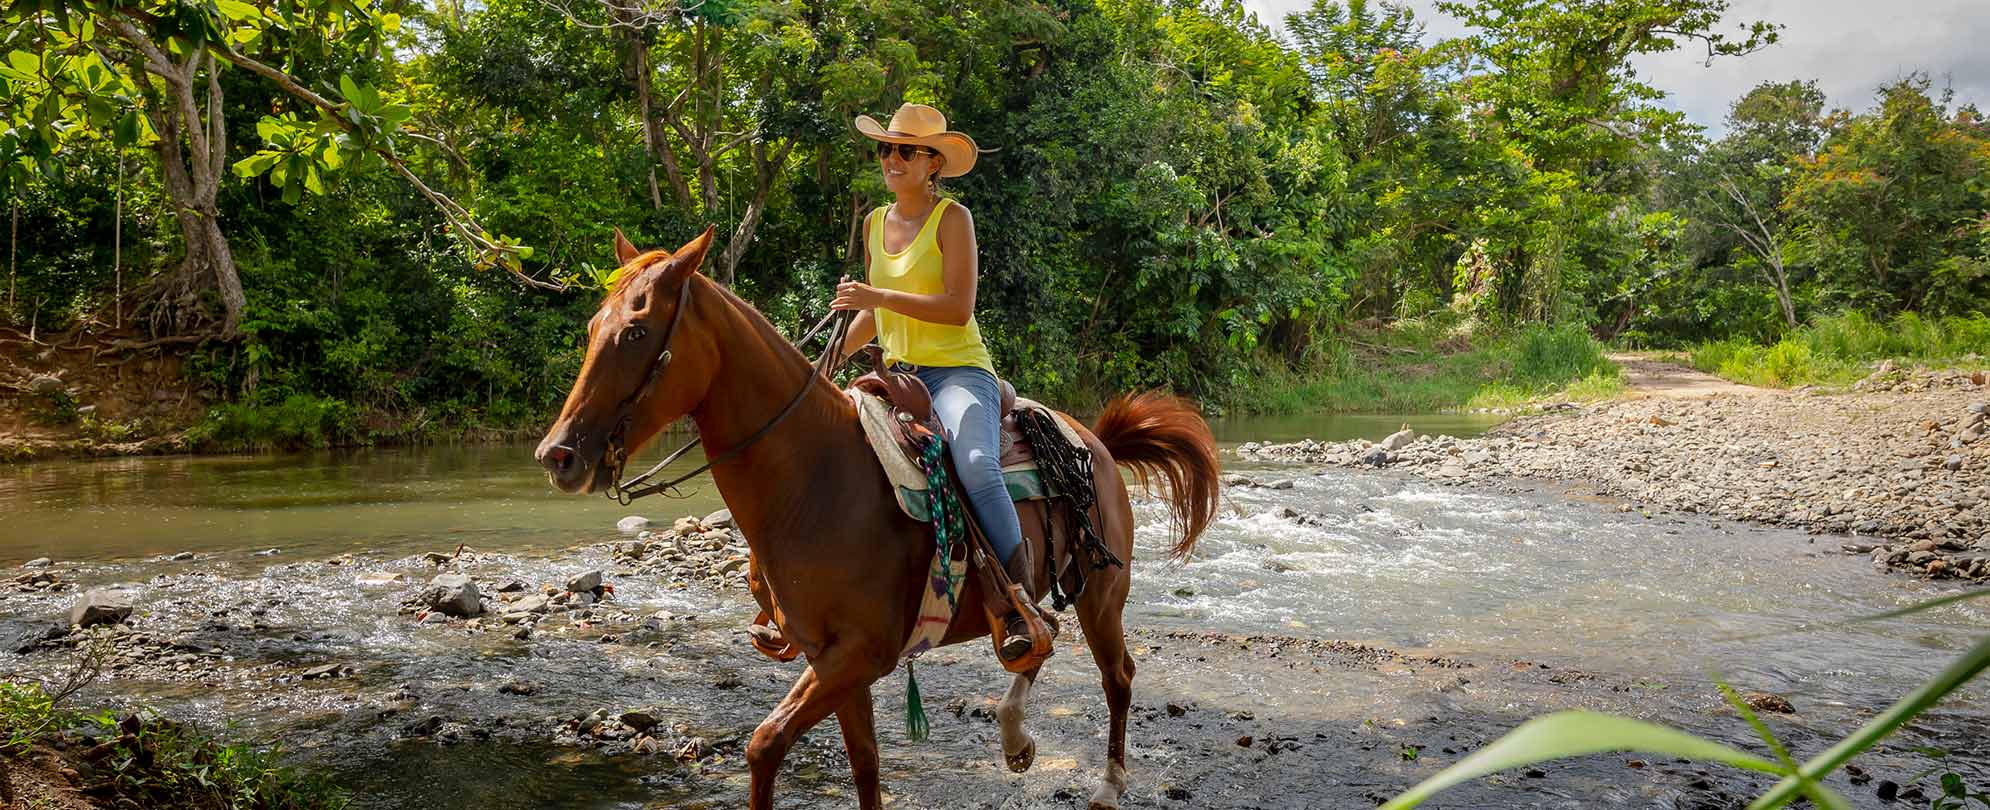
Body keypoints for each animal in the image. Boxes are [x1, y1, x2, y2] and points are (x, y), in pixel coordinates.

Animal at [537, 226, 1217, 810]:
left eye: (636, 332)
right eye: (594, 325)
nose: (557, 455)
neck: (816, 480)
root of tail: (1094, 440)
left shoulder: (861, 655)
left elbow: (765, 744)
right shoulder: (831, 659)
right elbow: (861, 765)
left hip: (1103, 592)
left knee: (1117, 676)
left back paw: (1106, 784)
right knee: (1038, 641)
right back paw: (1015, 734)